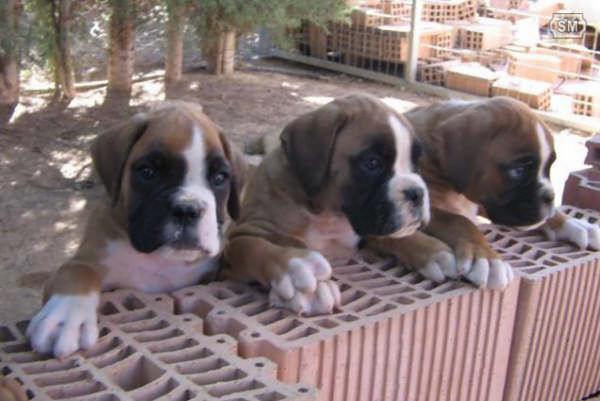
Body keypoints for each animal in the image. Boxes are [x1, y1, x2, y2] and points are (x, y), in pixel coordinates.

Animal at [25, 102, 246, 356]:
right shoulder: (84, 261)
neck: (160, 260)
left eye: (220, 177)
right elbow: (78, 271)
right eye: (148, 172)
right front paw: (65, 318)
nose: (187, 209)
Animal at [219, 94, 432, 316]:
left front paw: (435, 252)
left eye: (416, 162)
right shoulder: (239, 237)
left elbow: (399, 238)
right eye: (372, 163)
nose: (417, 193)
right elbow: (253, 247)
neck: (327, 214)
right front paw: (296, 268)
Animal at [368, 98, 596, 290]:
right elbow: (460, 221)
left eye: (549, 166)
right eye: (519, 170)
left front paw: (575, 223)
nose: (550, 197)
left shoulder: (481, 201)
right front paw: (487, 259)